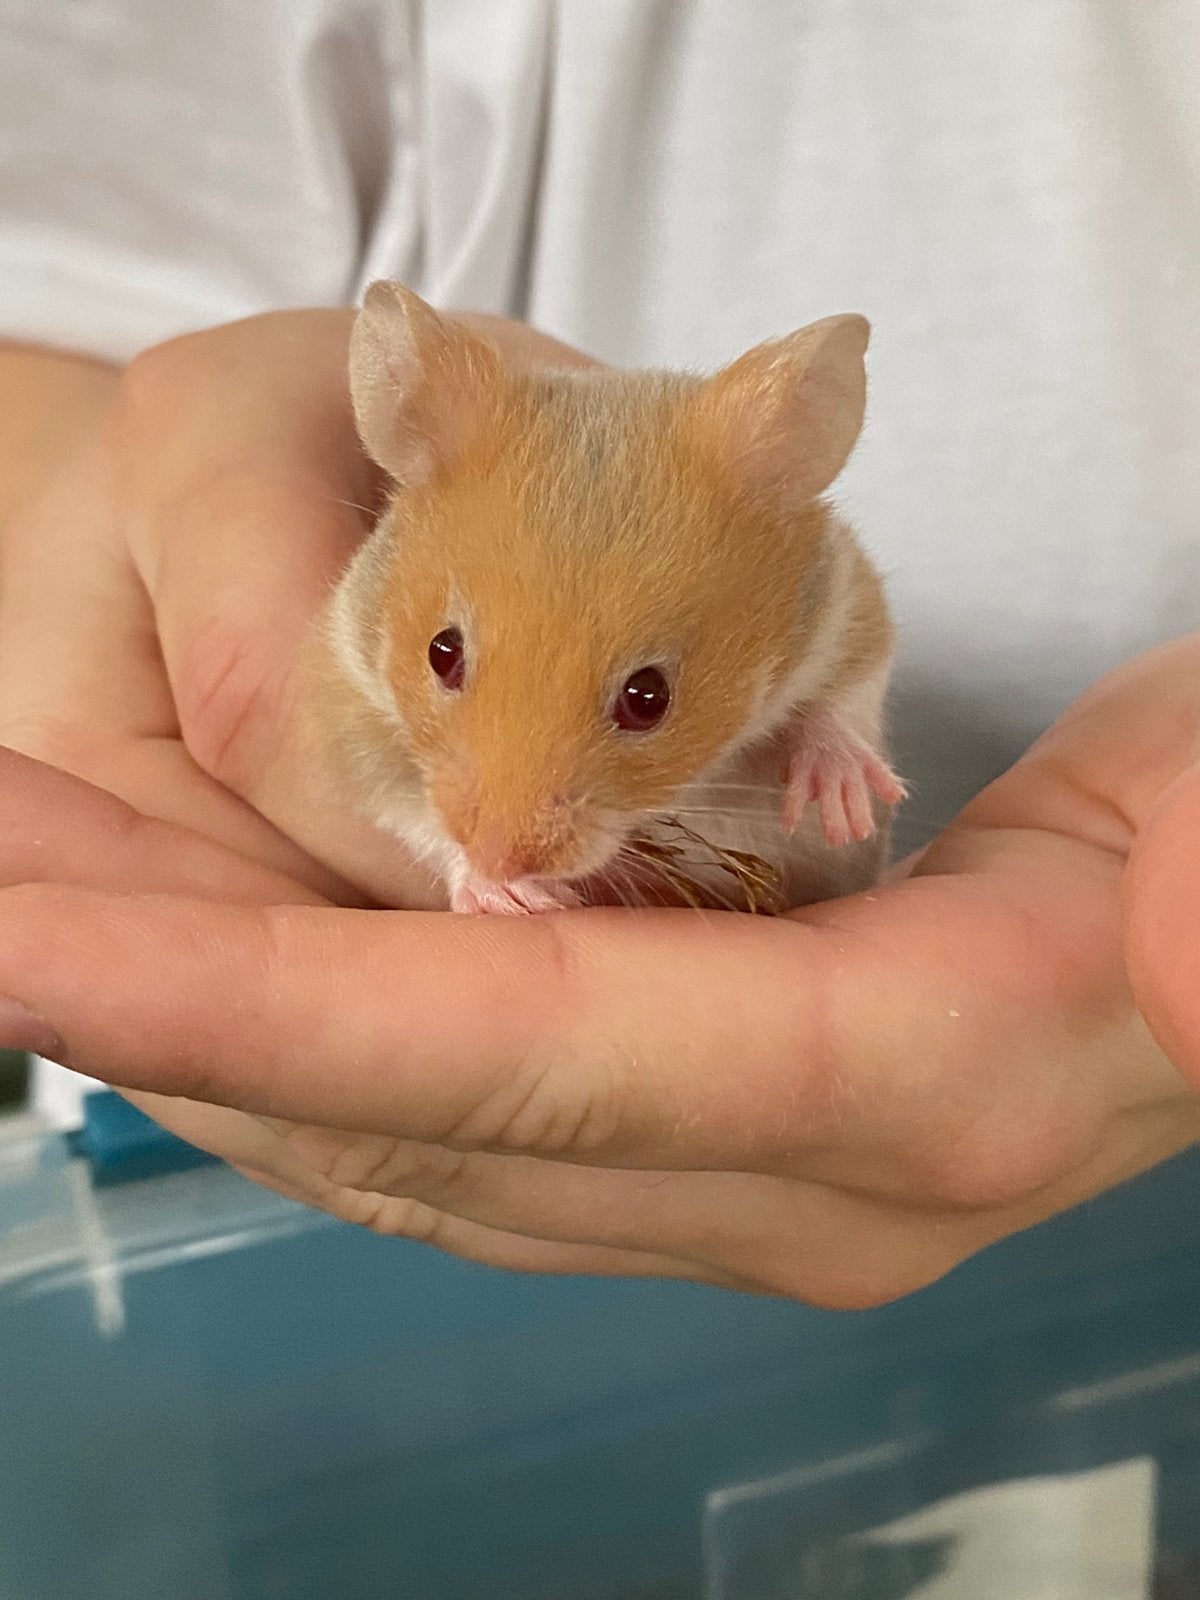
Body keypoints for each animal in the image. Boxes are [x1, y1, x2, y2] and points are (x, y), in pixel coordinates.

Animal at [307, 281, 904, 915]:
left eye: (649, 698)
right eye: (441, 653)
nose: (499, 856)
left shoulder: (848, 604)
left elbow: (841, 699)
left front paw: (844, 809)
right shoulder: (351, 700)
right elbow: (404, 806)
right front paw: (512, 896)